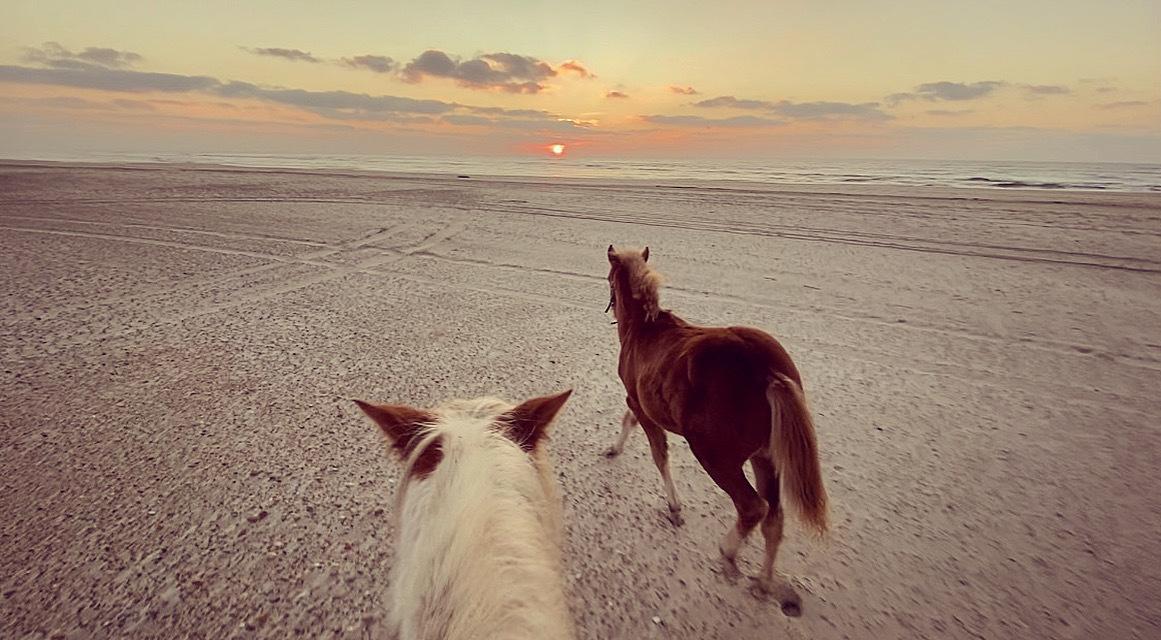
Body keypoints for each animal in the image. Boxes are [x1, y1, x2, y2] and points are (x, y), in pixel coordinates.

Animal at [608, 245, 826, 617]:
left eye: (608, 277)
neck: (643, 328)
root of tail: (767, 370)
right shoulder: (641, 404)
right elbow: (631, 424)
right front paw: (614, 449)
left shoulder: (638, 402)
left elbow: (658, 453)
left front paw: (674, 508)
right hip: (766, 457)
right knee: (774, 517)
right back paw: (763, 582)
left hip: (715, 455)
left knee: (752, 507)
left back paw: (728, 554)